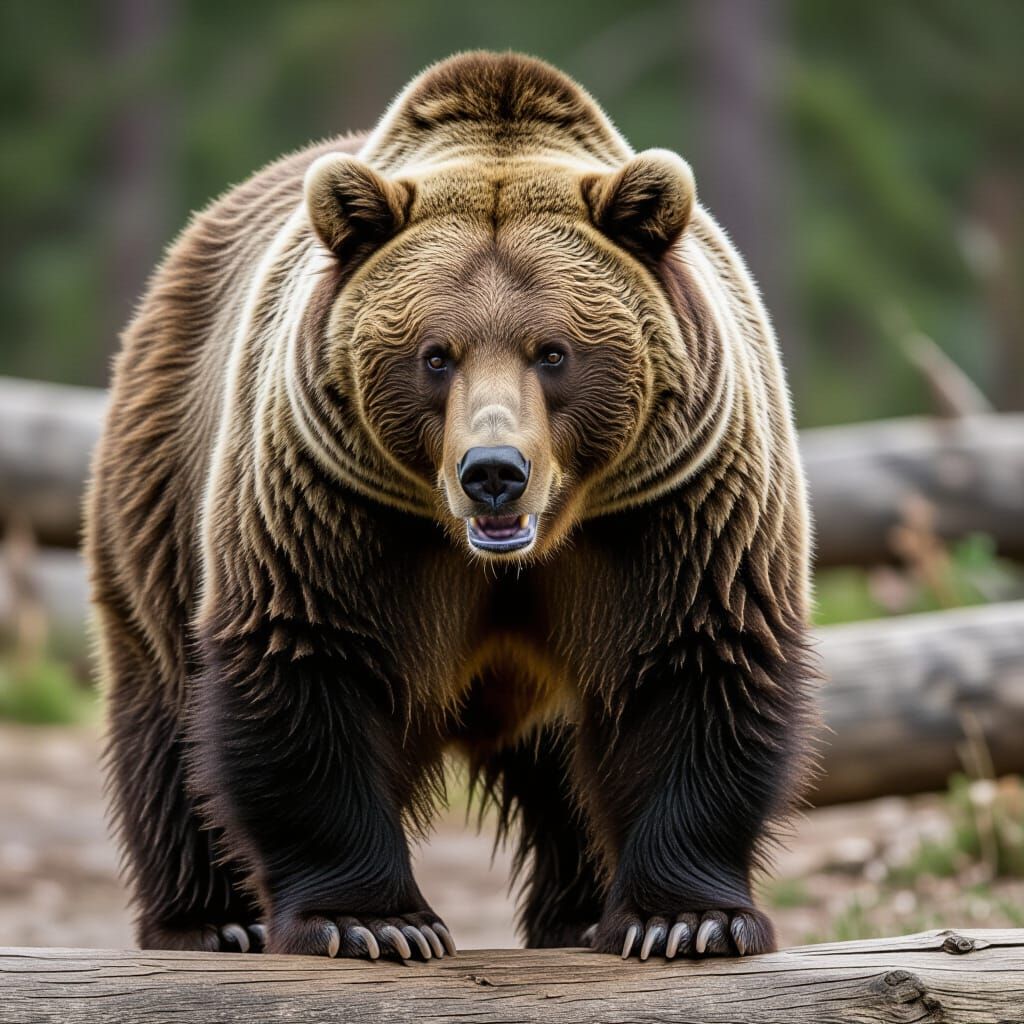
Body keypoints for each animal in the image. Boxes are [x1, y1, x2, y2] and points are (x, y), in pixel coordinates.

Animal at [85, 51, 816, 962]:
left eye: (553, 352)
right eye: (435, 354)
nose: (493, 471)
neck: (518, 548)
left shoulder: (677, 504)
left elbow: (693, 664)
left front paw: (685, 919)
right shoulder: (333, 505)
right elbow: (309, 663)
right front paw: (372, 921)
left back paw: (577, 914)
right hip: (164, 471)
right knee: (165, 710)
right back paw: (211, 919)